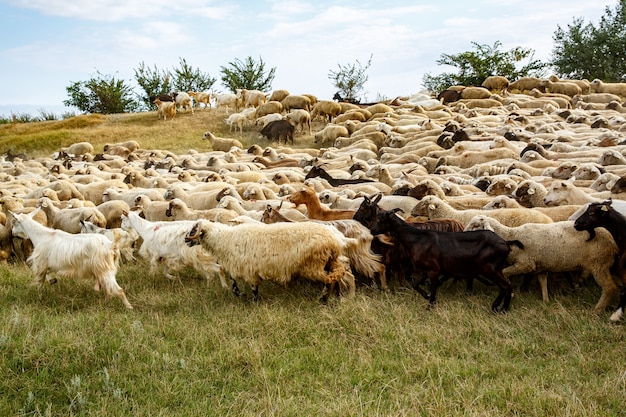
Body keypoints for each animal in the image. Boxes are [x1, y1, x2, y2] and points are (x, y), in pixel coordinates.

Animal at [183, 218, 354, 302]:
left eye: (193, 230)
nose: (185, 240)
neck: (225, 239)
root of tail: (334, 239)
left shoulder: (248, 269)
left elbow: (253, 289)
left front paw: (254, 301)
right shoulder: (239, 265)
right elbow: (233, 281)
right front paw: (239, 294)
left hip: (313, 266)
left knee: (330, 280)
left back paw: (323, 299)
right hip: (329, 261)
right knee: (337, 277)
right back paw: (336, 297)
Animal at [460, 213, 616, 310]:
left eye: (475, 225)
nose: (461, 234)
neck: (510, 235)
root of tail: (613, 242)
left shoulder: (526, 264)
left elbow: (505, 273)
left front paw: (511, 293)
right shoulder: (540, 267)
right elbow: (543, 283)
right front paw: (546, 301)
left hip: (599, 264)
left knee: (609, 288)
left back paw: (598, 309)